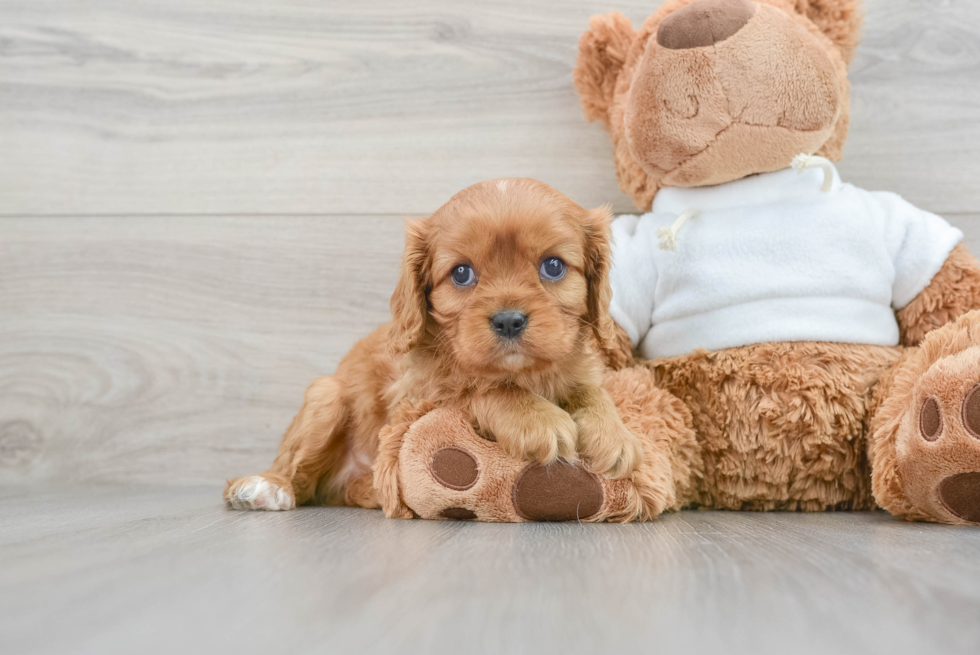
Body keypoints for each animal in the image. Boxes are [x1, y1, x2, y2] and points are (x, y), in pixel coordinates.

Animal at [224, 179, 644, 512]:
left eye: (553, 266)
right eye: (461, 273)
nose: (508, 320)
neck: (525, 372)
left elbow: (592, 392)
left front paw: (615, 435)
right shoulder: (419, 395)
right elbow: (482, 388)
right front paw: (538, 419)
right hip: (325, 397)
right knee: (298, 473)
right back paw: (265, 487)